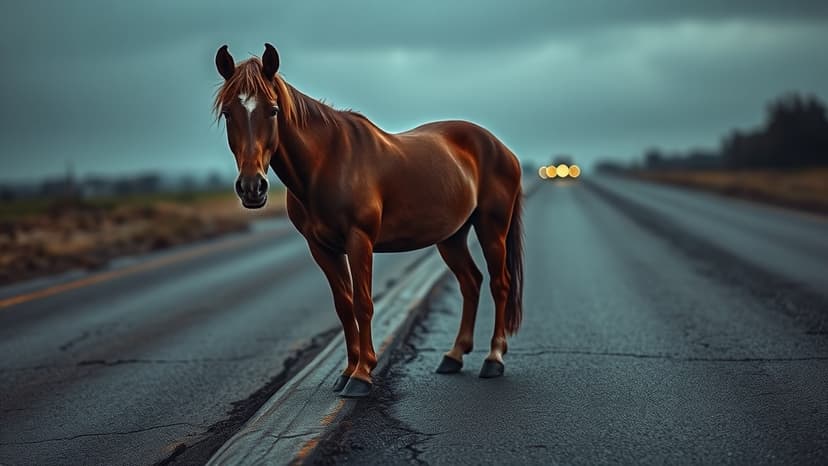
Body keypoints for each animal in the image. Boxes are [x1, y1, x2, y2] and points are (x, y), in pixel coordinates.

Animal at [213, 44, 524, 398]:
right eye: (228, 113)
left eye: (274, 110)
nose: (252, 187)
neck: (327, 163)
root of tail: (501, 148)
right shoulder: (322, 248)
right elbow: (344, 305)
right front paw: (348, 370)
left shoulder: (359, 240)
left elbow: (363, 303)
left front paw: (362, 375)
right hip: (452, 237)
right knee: (471, 282)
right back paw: (453, 356)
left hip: (492, 228)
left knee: (500, 284)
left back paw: (494, 358)